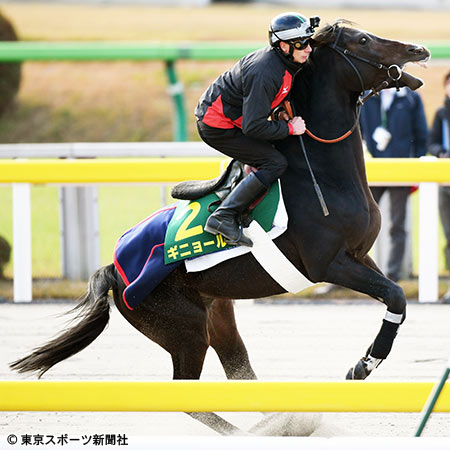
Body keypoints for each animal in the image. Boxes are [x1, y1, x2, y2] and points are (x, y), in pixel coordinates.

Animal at [12, 22, 430, 436]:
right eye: (362, 40)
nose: (419, 49)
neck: (322, 175)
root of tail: (113, 269)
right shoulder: (329, 264)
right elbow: (395, 296)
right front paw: (363, 365)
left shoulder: (358, 256)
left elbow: (396, 297)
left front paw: (364, 363)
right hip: (184, 327)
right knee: (186, 395)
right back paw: (252, 432)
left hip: (218, 315)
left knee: (239, 373)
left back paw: (283, 420)